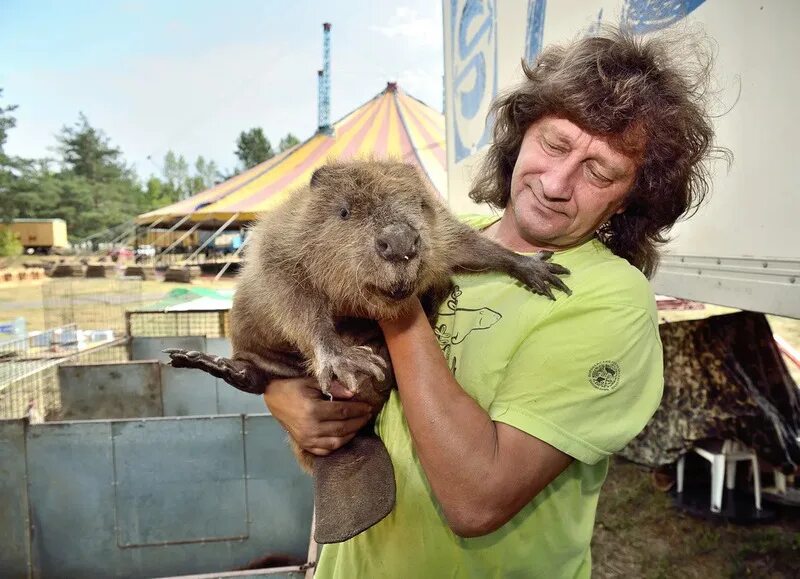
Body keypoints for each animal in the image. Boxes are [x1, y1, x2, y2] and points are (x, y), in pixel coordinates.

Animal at [167, 160, 568, 544]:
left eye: (420, 204)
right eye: (344, 211)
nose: (400, 242)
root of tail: (352, 443)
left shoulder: (441, 230)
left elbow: (469, 244)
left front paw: (534, 267)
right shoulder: (281, 247)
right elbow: (296, 302)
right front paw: (345, 360)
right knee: (256, 376)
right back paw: (207, 361)